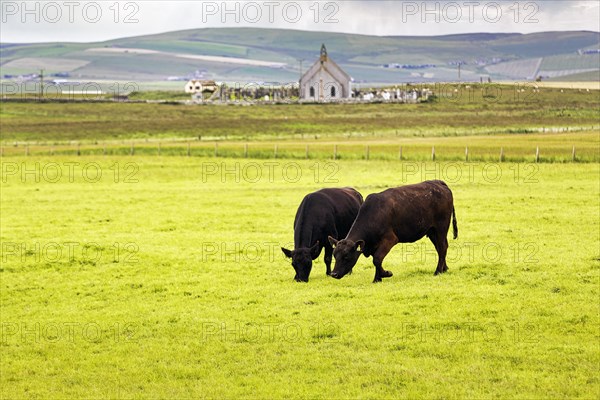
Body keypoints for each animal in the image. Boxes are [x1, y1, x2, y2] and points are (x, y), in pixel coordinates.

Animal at [326, 180, 458, 282]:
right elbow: (377, 260)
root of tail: (438, 182)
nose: (334, 274)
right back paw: (444, 269)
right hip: (432, 231)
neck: (374, 214)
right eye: (335, 255)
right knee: (440, 248)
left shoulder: (390, 239)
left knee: (442, 247)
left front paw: (385, 274)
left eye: (346, 256)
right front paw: (377, 278)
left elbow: (377, 259)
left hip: (441, 227)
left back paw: (438, 271)